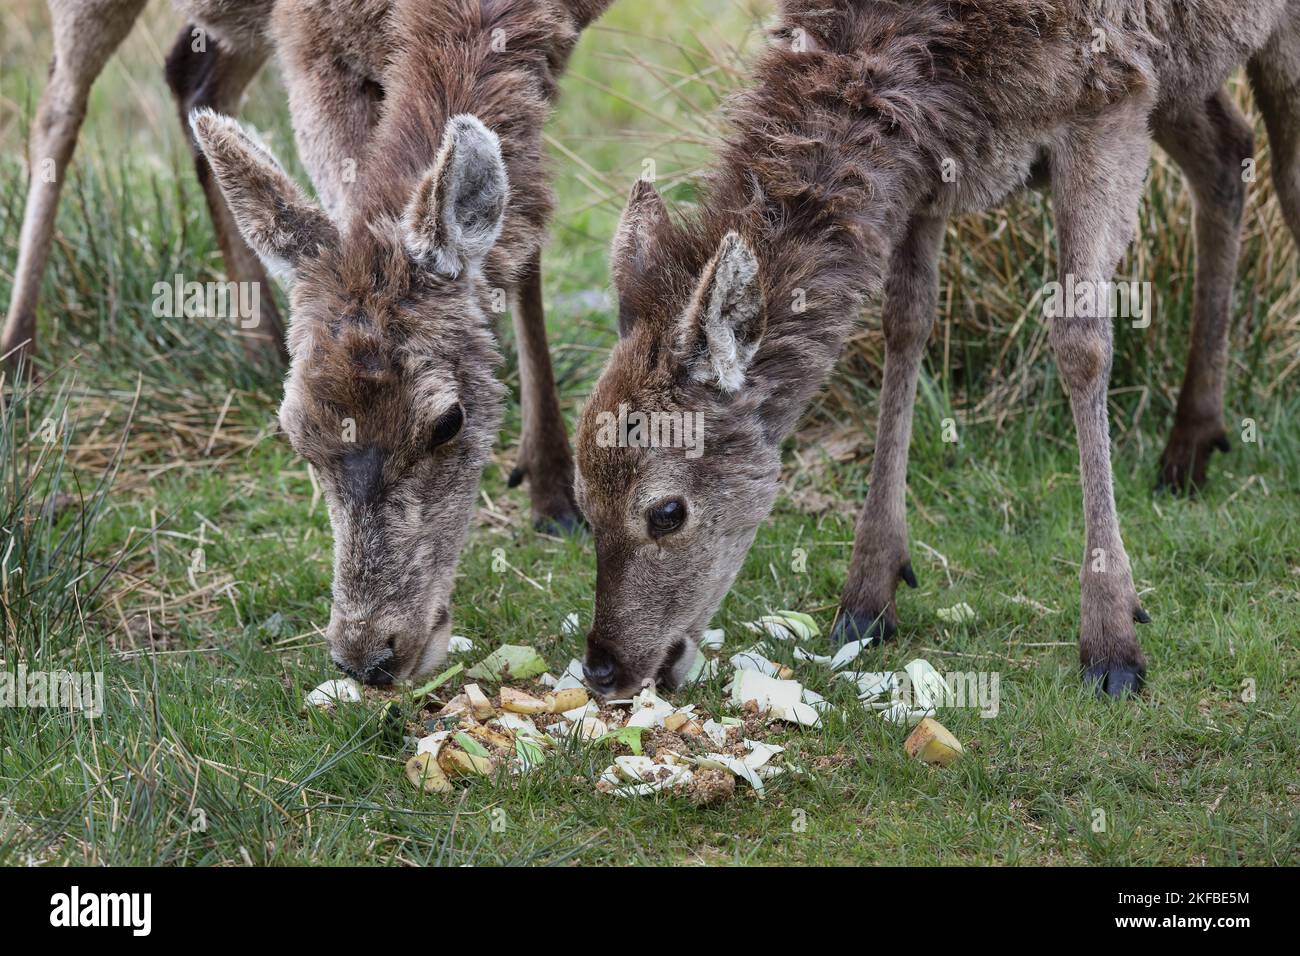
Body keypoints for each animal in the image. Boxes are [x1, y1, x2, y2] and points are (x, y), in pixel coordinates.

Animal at [577, 0, 1300, 702]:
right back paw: (1191, 443)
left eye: (666, 512)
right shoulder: (930, 170)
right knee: (1228, 149)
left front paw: (1113, 643)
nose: (604, 667)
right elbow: (906, 321)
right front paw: (868, 596)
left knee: (1280, 169)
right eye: (582, 503)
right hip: (1187, 71)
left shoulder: (1109, 97)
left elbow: (1081, 342)